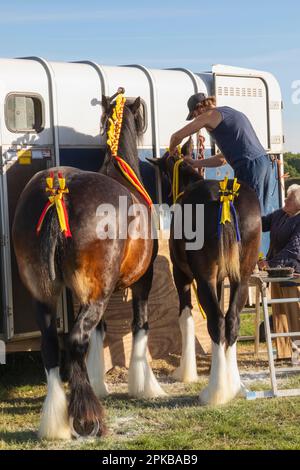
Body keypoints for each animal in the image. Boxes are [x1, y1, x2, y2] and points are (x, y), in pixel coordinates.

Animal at [11, 92, 165, 440]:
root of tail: (58, 193)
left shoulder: (83, 292)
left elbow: (101, 332)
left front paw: (99, 382)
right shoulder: (143, 280)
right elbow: (140, 325)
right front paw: (145, 385)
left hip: (46, 295)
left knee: (52, 345)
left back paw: (56, 421)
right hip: (98, 294)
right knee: (75, 340)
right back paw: (87, 417)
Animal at [149, 153, 262, 404]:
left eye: (163, 173)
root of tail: (225, 198)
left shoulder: (181, 275)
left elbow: (186, 318)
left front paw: (185, 372)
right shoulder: (219, 280)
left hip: (203, 279)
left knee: (217, 321)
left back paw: (215, 392)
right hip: (242, 277)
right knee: (231, 320)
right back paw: (233, 385)